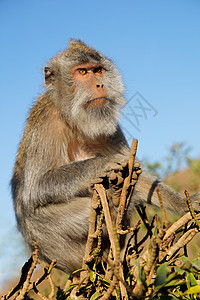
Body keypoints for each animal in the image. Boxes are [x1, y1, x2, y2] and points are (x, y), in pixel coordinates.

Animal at [11, 41, 200, 276]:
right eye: (83, 72)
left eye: (98, 70)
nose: (100, 85)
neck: (74, 119)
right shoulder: (47, 122)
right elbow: (36, 188)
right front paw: (103, 164)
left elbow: (138, 176)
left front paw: (184, 202)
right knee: (37, 218)